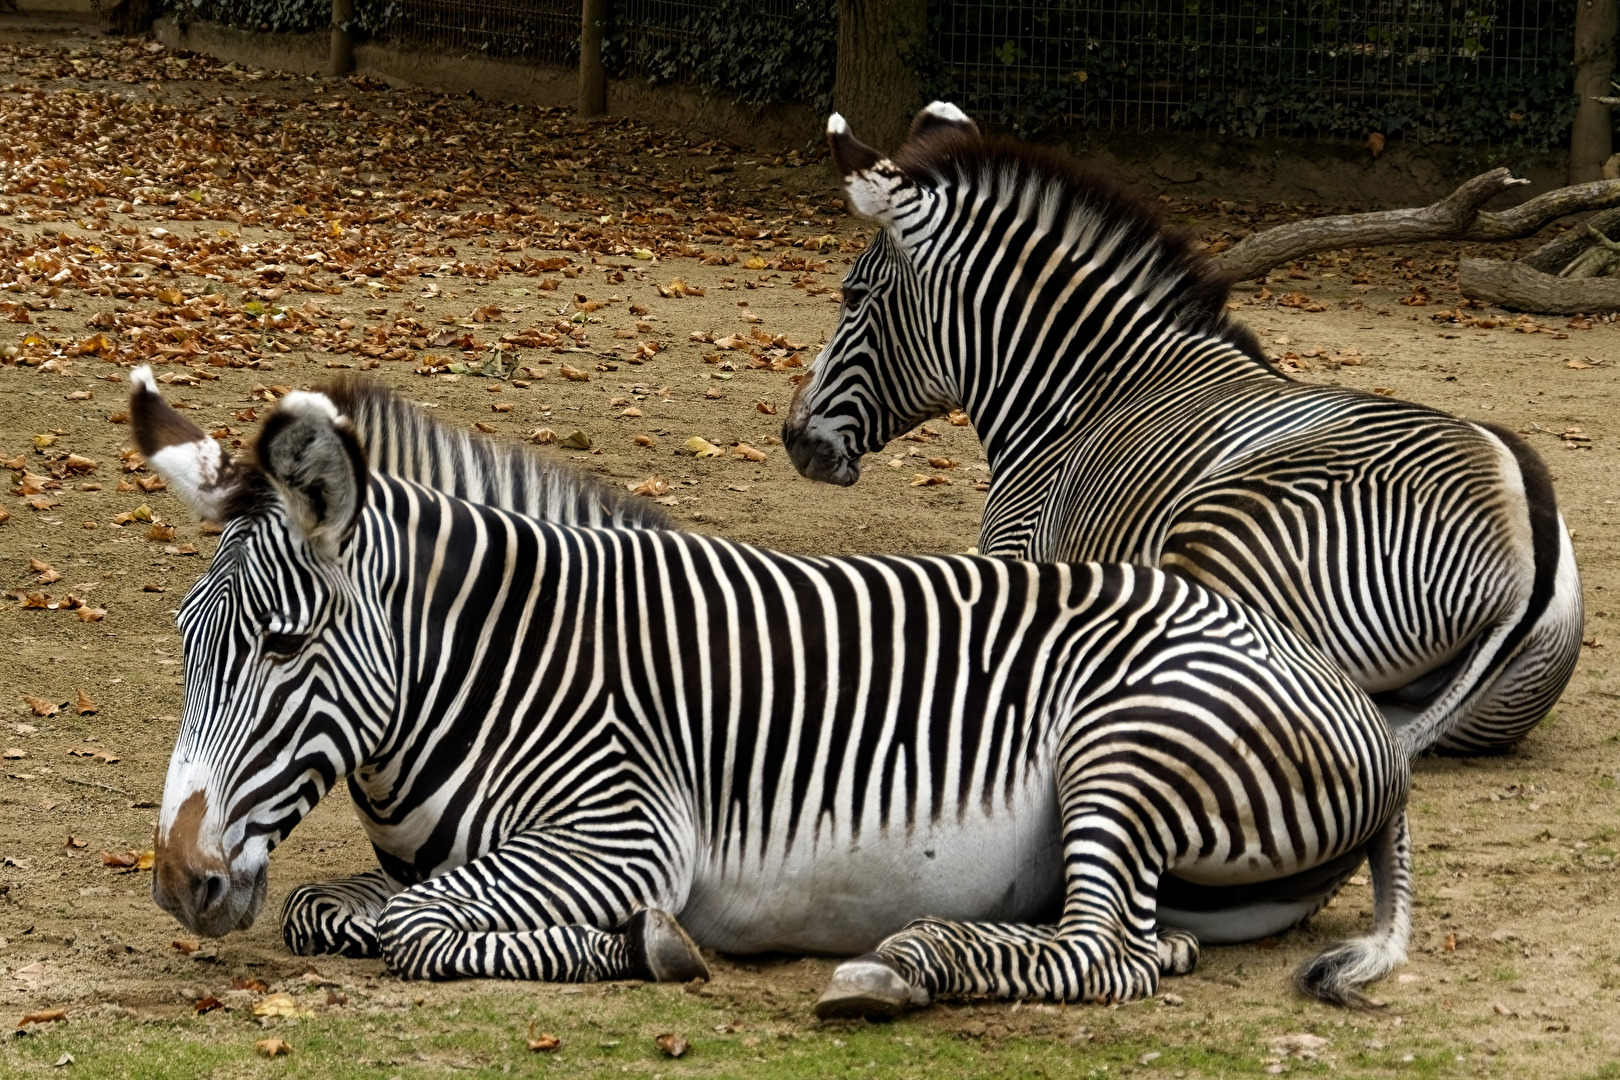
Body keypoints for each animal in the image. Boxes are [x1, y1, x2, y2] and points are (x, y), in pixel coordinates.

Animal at [133, 366, 1414, 1012]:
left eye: (284, 645)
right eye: (189, 642)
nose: (179, 885)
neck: (491, 666)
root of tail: (1364, 717)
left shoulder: (626, 837)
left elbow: (408, 930)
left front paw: (642, 948)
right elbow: (329, 907)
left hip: (1126, 743)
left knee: (1110, 955)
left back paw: (909, 966)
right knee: (1152, 946)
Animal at [783, 102, 1583, 758]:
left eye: (851, 296)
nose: (794, 438)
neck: (1081, 394)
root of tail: (1524, 558)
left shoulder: (1012, 550)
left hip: (1221, 533)